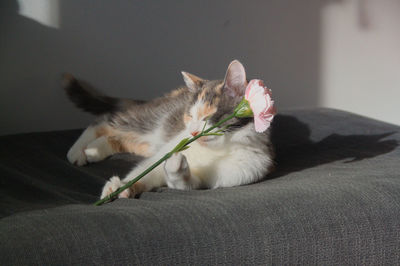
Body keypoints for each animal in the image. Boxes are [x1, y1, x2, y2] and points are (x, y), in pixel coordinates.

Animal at [63, 59, 276, 198]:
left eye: (207, 117)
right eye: (189, 116)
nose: (193, 132)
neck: (216, 150)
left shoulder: (242, 169)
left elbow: (185, 183)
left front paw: (175, 165)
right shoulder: (170, 145)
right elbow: (147, 169)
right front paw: (119, 185)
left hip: (151, 139)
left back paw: (94, 151)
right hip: (153, 120)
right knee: (105, 121)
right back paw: (79, 151)